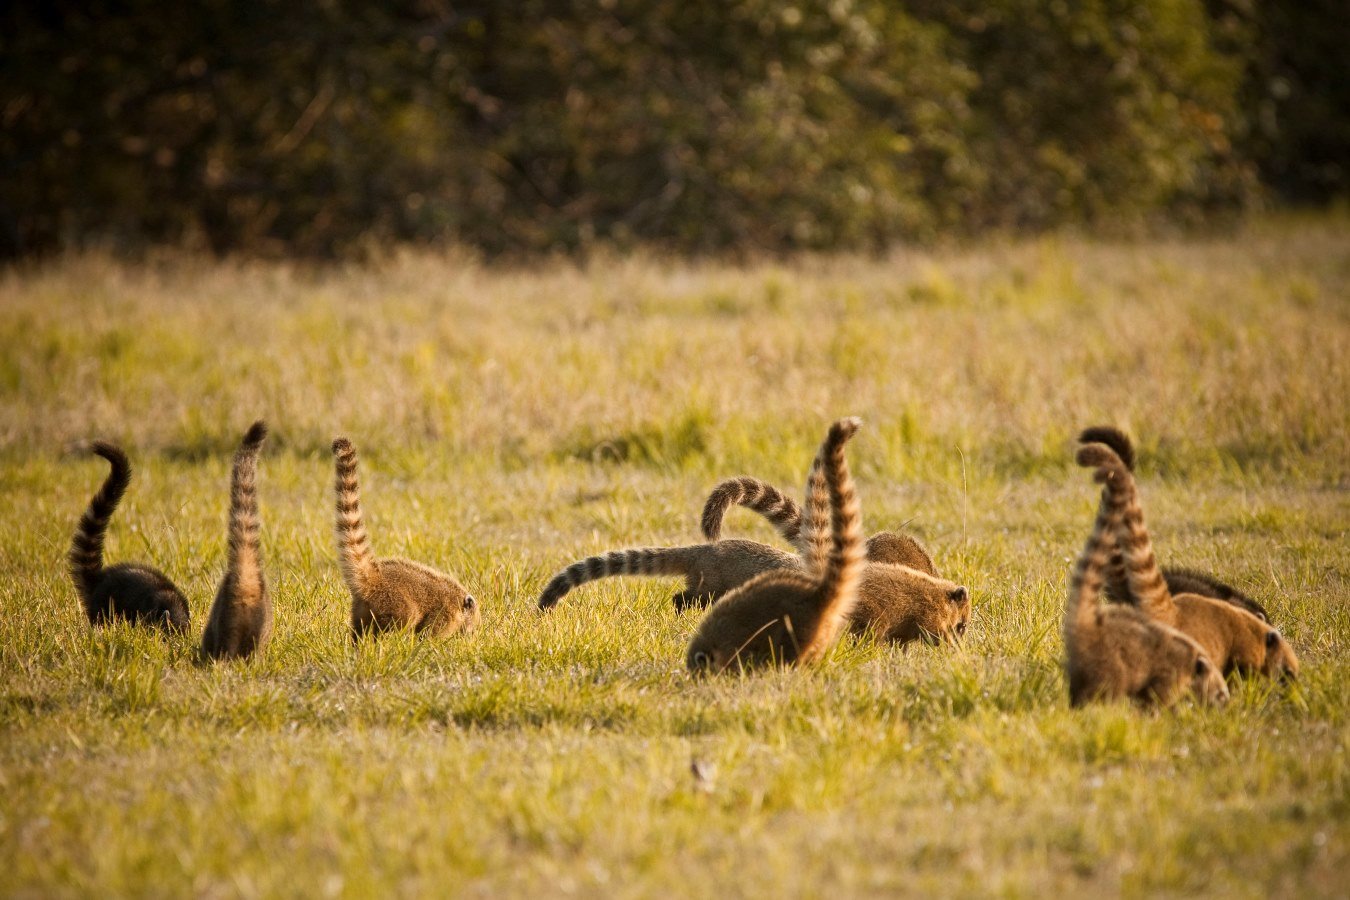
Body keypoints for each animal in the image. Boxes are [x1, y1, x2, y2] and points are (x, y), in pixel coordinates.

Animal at [332, 437, 479, 639]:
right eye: (475, 626)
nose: (472, 637)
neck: (458, 599)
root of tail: (373, 576)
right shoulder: (445, 612)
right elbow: (431, 632)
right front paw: (429, 643)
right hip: (394, 603)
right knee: (403, 620)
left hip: (361, 607)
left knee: (360, 628)